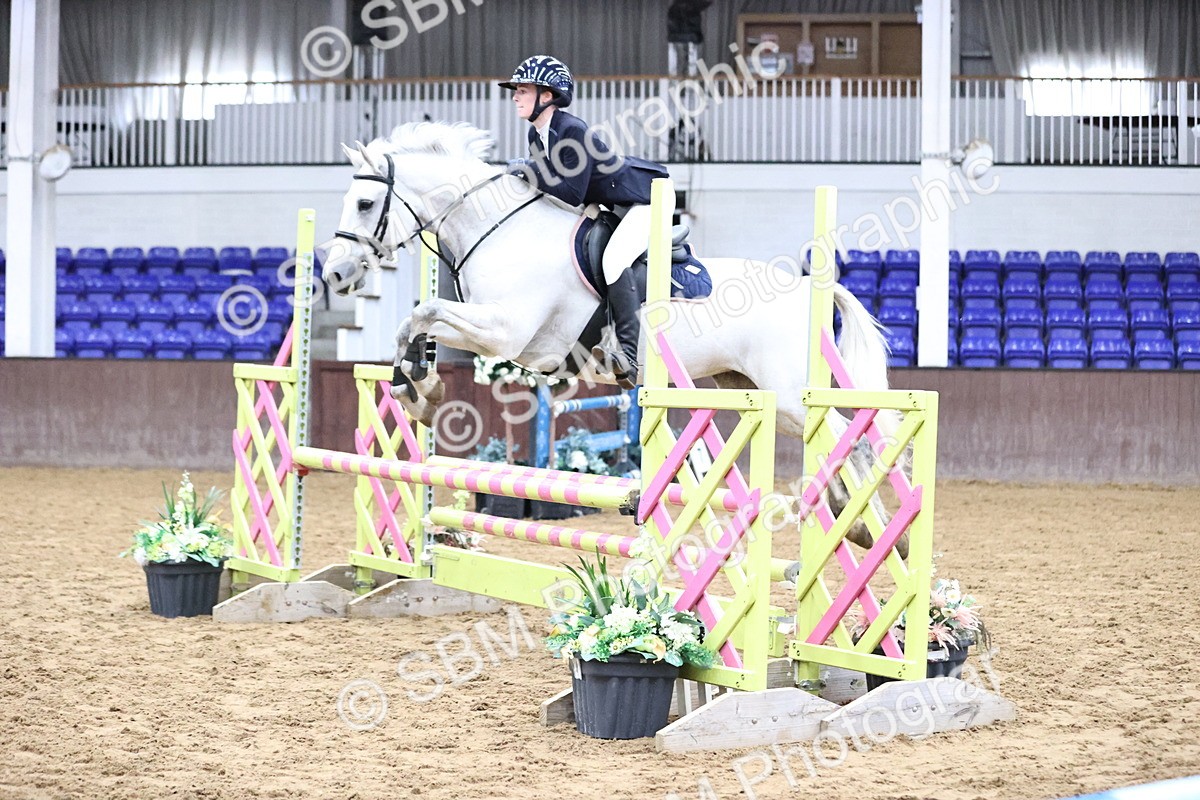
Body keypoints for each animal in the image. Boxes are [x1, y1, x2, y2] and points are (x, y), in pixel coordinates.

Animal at [321, 121, 904, 555]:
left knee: (851, 438)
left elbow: (424, 312)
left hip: (784, 393)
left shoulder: (508, 333)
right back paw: (857, 525)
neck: (500, 229)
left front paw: (422, 388)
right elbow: (415, 324)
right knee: (836, 439)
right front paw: (416, 388)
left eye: (366, 204)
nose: (335, 274)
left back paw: (864, 526)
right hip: (747, 386)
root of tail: (811, 287)